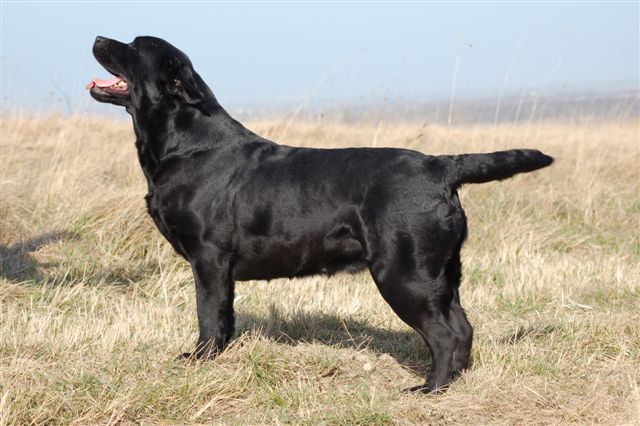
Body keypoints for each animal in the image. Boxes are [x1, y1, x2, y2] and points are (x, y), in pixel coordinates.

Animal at [87, 35, 553, 393]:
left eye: (134, 46)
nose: (98, 38)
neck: (185, 142)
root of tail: (440, 165)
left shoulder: (209, 257)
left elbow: (208, 314)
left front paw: (198, 359)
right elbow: (225, 317)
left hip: (403, 274)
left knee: (445, 334)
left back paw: (429, 388)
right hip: (441, 274)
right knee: (463, 328)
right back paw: (455, 380)